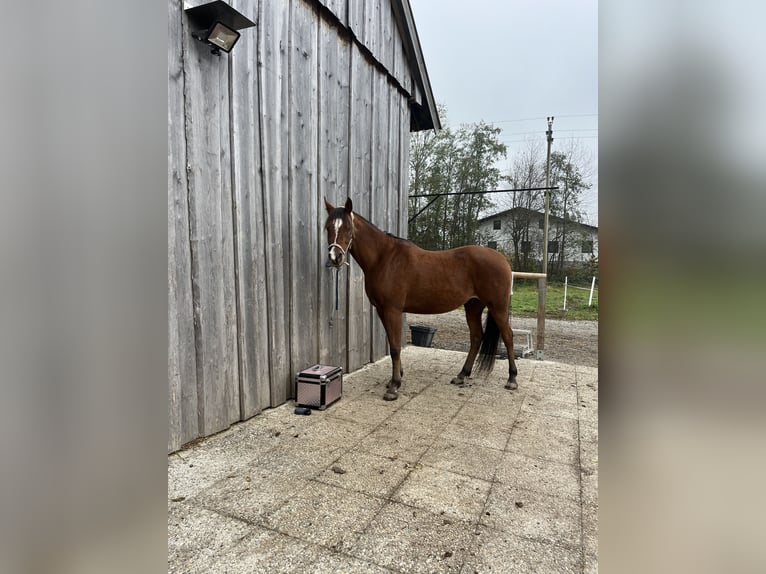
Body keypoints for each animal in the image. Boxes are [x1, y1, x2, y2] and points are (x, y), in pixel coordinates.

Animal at [323, 197, 518, 401]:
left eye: (347, 228)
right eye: (328, 227)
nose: (335, 257)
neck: (384, 258)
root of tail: (502, 259)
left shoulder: (393, 310)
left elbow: (395, 347)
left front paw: (394, 386)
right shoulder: (382, 310)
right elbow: (392, 343)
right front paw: (395, 379)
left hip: (498, 307)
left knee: (508, 336)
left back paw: (512, 379)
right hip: (473, 306)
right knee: (476, 337)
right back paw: (461, 375)